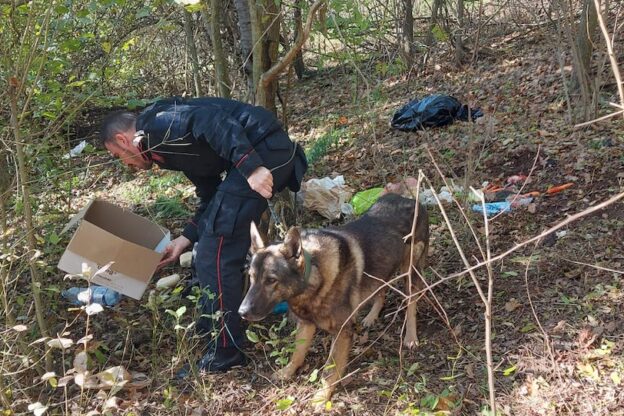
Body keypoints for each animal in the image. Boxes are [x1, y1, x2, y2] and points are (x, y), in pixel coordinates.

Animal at [239, 193, 428, 404]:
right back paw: (372, 316)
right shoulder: (306, 325)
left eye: (271, 280)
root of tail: (410, 199)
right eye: (252, 277)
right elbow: (297, 353)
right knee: (381, 290)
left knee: (411, 303)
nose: (241, 312)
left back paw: (411, 336)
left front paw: (322, 396)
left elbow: (330, 371)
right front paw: (287, 372)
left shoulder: (342, 332)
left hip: (409, 272)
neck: (314, 277)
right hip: (381, 270)